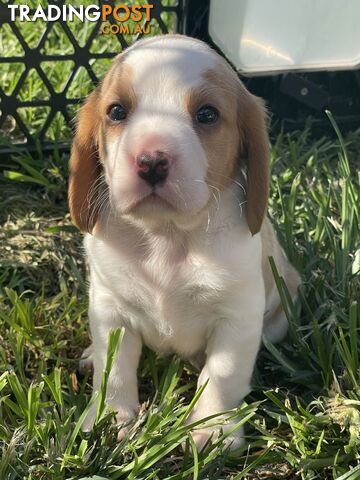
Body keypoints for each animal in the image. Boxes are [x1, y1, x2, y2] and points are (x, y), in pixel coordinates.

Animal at [68, 34, 300, 450]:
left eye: (207, 115)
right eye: (116, 112)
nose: (151, 161)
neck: (168, 236)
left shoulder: (237, 319)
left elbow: (222, 375)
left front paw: (213, 429)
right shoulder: (110, 310)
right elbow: (115, 370)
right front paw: (111, 419)